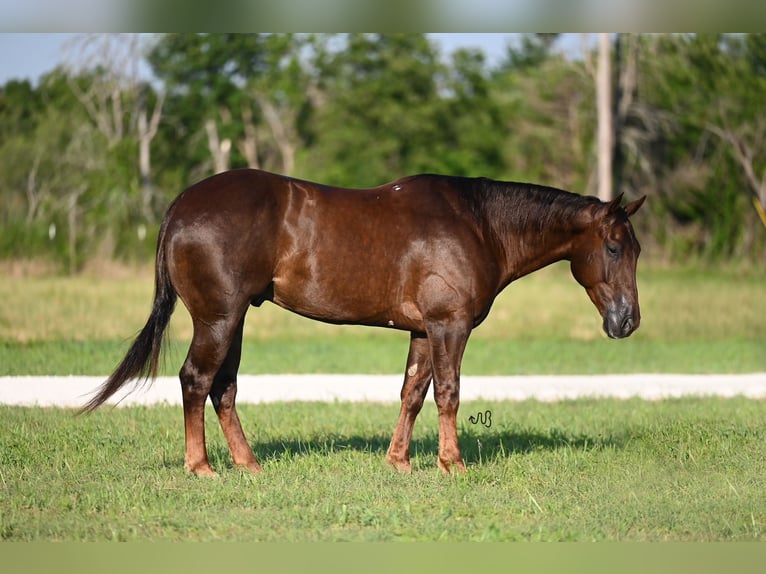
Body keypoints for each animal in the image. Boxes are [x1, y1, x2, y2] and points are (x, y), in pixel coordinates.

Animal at [85, 170, 648, 476]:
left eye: (637, 249)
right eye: (613, 248)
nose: (628, 320)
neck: (479, 223)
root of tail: (181, 206)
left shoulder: (423, 329)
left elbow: (412, 392)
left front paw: (399, 461)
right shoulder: (449, 326)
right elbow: (448, 393)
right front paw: (452, 463)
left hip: (236, 319)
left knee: (223, 388)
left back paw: (248, 464)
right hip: (219, 319)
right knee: (196, 380)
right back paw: (201, 467)